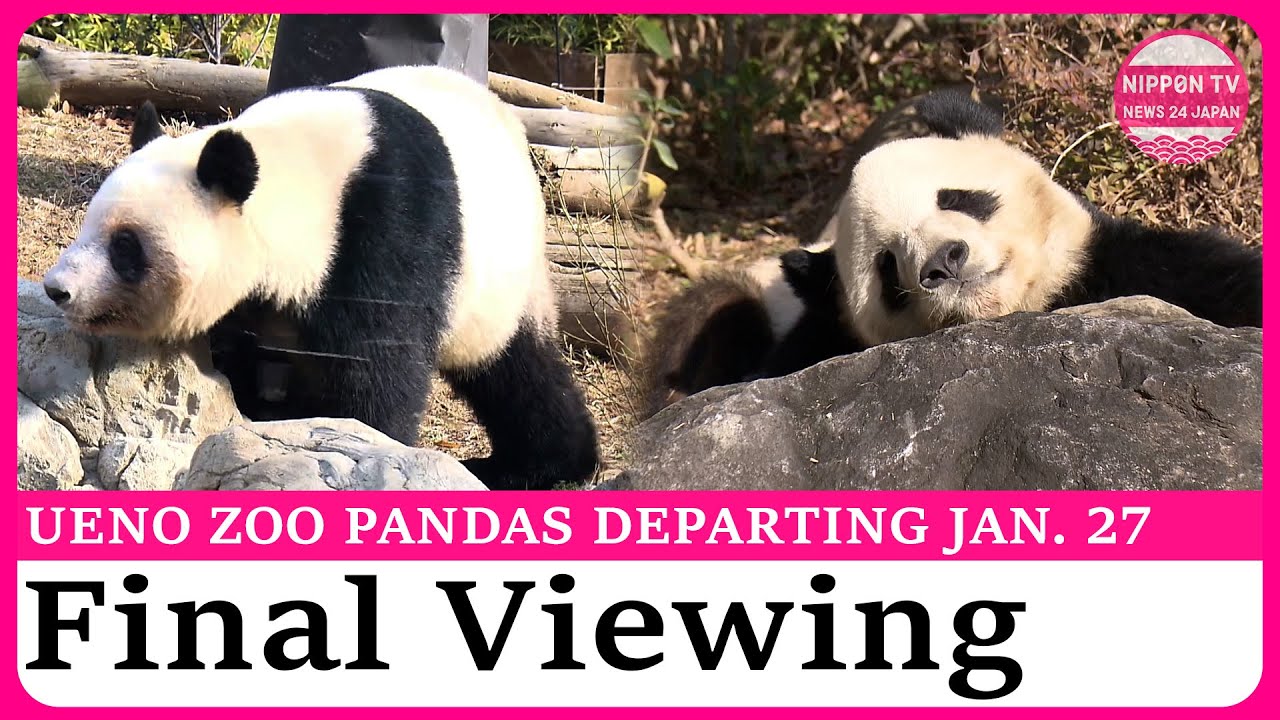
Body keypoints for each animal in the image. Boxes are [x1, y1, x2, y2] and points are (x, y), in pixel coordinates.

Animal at [40, 65, 600, 490]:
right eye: (88, 223)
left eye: (125, 246)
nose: (57, 288)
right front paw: (259, 414)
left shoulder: (385, 225)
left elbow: (378, 363)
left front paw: (358, 439)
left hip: (499, 277)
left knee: (514, 370)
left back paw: (542, 465)